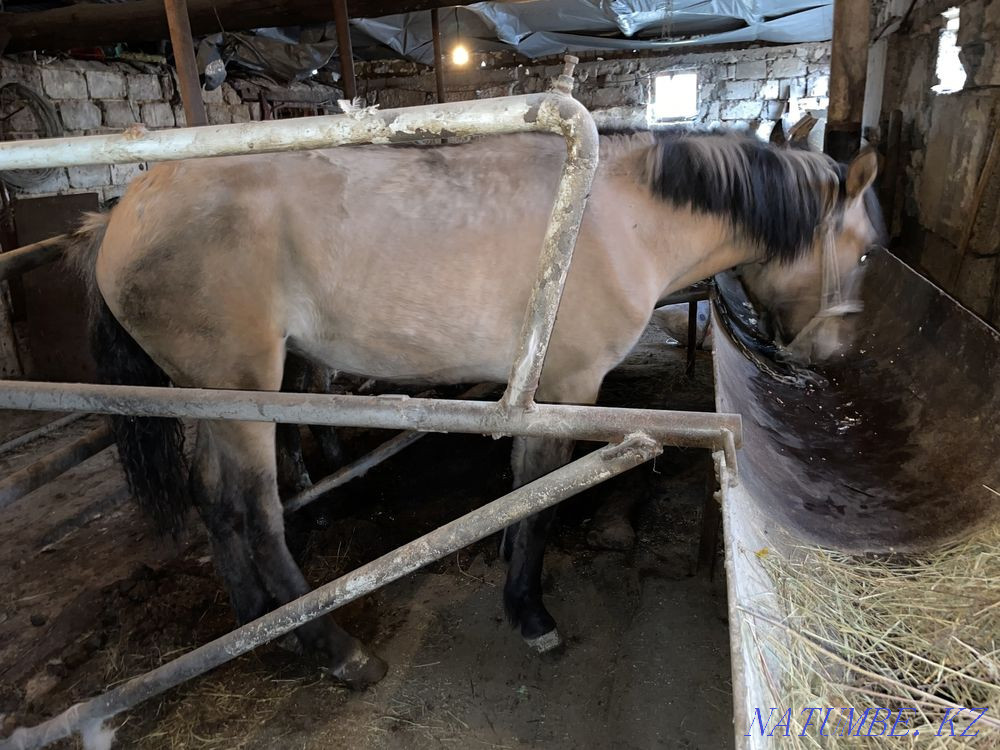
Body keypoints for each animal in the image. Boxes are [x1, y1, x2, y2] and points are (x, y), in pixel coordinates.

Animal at [68, 126, 883, 689]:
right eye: (868, 249)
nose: (835, 352)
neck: (618, 219)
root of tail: (120, 217)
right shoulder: (570, 389)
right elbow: (542, 500)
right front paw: (530, 610)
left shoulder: (538, 395)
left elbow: (523, 489)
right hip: (248, 395)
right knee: (258, 516)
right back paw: (334, 650)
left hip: (210, 399)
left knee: (215, 504)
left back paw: (256, 626)